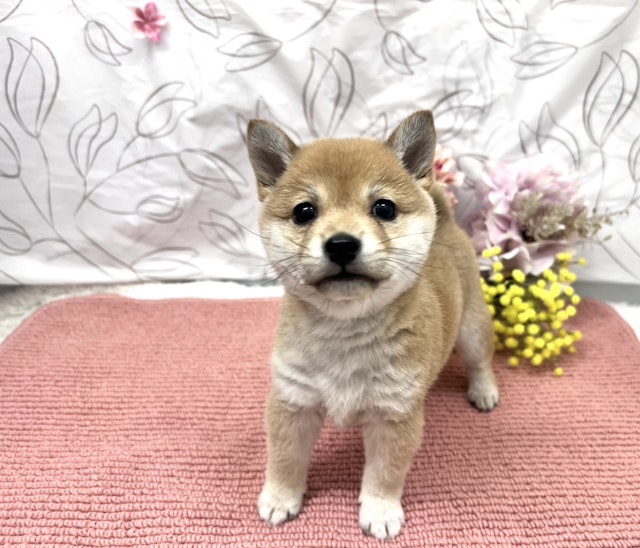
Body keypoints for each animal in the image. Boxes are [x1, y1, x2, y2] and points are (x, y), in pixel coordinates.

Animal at [246, 110, 500, 540]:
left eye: (384, 208)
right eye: (304, 212)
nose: (341, 244)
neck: (345, 333)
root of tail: (448, 223)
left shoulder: (394, 415)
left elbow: (385, 473)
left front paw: (380, 511)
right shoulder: (294, 402)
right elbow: (284, 459)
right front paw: (281, 497)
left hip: (470, 329)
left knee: (480, 360)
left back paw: (484, 391)